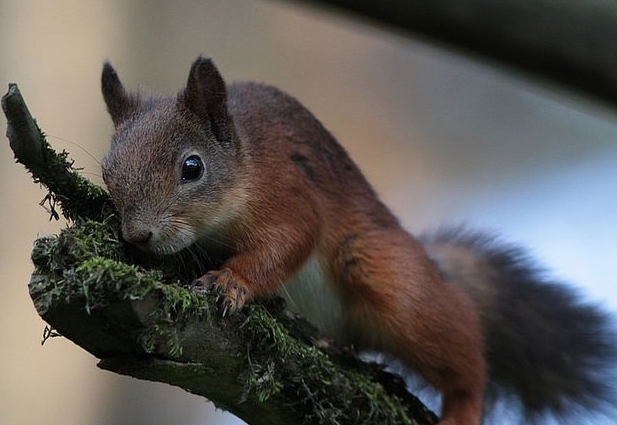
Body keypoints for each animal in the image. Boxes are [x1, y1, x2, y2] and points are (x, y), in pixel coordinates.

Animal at [101, 57, 616, 424]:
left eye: (192, 167)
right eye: (108, 170)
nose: (138, 235)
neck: (246, 166)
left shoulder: (290, 195)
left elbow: (289, 243)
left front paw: (232, 282)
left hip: (386, 275)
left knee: (464, 351)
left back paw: (463, 406)